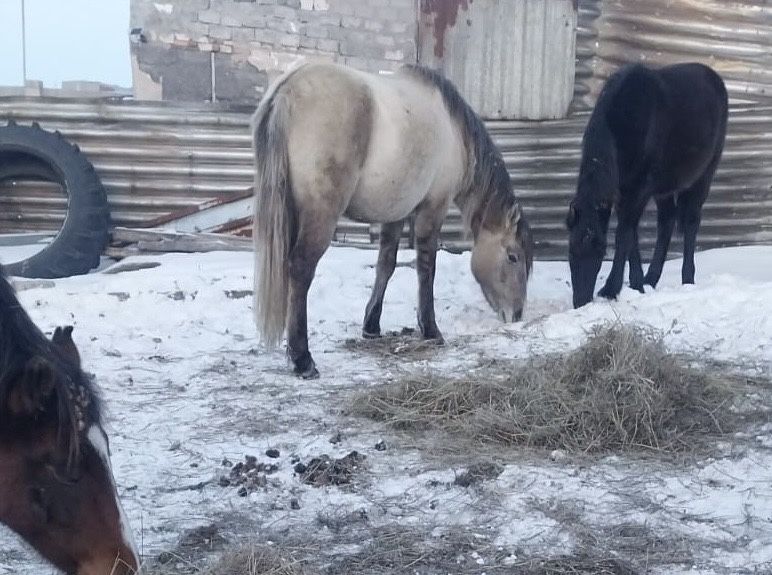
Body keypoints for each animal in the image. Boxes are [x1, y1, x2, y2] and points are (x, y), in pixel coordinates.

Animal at [252, 62, 534, 378]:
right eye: (513, 257)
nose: (517, 314)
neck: (453, 130)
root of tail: (289, 86)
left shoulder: (395, 214)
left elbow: (385, 265)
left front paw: (371, 325)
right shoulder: (432, 209)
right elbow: (426, 268)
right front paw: (431, 329)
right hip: (319, 215)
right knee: (300, 269)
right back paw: (303, 359)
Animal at [567, 63, 728, 309]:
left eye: (600, 249)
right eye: (571, 250)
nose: (581, 301)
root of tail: (714, 77)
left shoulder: (639, 189)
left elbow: (624, 234)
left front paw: (611, 289)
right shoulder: (625, 192)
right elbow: (631, 235)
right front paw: (636, 284)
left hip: (704, 176)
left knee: (691, 223)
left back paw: (687, 279)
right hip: (664, 187)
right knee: (667, 223)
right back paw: (650, 278)